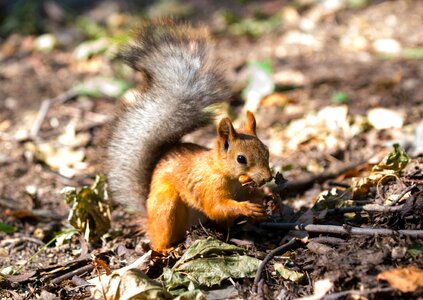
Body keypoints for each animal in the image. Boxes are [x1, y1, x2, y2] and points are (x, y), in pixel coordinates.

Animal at [105, 19, 272, 253]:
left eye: (267, 151)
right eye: (241, 159)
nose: (267, 178)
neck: (228, 175)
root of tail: (147, 217)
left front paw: (269, 197)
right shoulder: (209, 187)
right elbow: (217, 207)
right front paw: (247, 208)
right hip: (166, 206)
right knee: (160, 237)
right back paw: (167, 249)